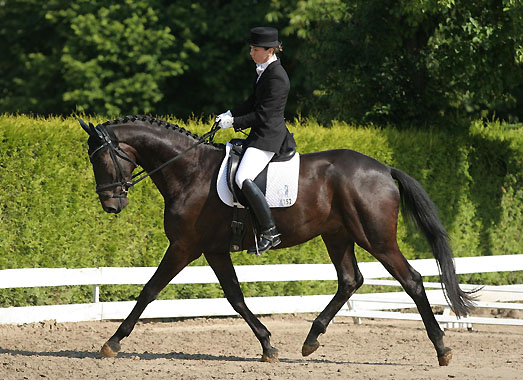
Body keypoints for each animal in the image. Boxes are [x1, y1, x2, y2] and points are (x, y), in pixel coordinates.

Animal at [80, 115, 476, 366]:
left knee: (412, 280)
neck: (189, 171)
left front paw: (112, 343)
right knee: (350, 280)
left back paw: (442, 349)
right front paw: (268, 345)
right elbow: (236, 297)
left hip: (375, 238)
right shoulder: (214, 250)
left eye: (101, 158)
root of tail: (383, 169)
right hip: (337, 235)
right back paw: (311, 340)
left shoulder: (184, 247)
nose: (111, 204)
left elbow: (149, 290)